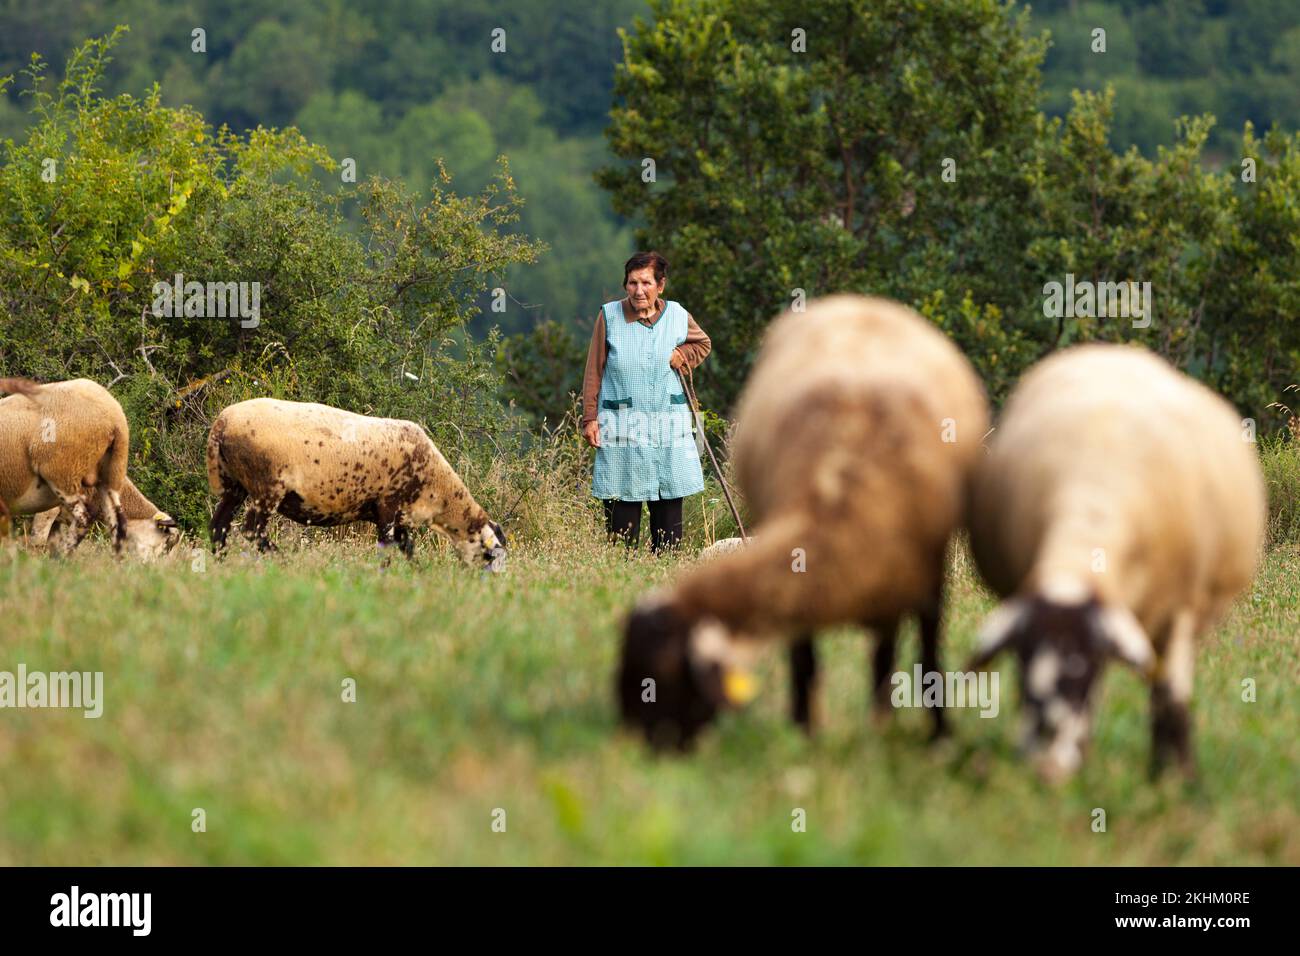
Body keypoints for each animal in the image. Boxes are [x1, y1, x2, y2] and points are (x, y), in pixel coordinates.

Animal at [0, 374, 130, 554]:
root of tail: (115, 419)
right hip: (112, 474)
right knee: (117, 524)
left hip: (63, 474)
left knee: (83, 519)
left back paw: (59, 556)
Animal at [205, 395, 504, 567]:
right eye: (489, 555)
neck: (437, 490)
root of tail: (222, 423)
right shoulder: (387, 505)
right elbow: (387, 548)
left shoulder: (401, 516)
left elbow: (407, 548)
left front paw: (417, 574)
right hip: (266, 485)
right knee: (251, 530)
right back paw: (282, 559)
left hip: (235, 484)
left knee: (219, 526)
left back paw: (221, 563)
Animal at [616, 295, 982, 749]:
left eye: (663, 674)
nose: (636, 747)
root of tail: (857, 303)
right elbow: (805, 653)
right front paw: (804, 731)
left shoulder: (925, 571)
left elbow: (927, 655)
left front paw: (934, 738)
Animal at [972, 343, 1263, 780]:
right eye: (1022, 670)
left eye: (1082, 669)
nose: (1045, 768)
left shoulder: (1178, 612)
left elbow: (1170, 694)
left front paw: (1175, 779)